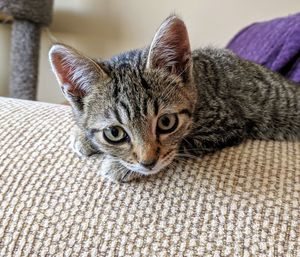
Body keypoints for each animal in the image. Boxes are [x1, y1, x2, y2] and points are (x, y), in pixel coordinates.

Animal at [48, 15, 298, 181]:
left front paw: (119, 167)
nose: (148, 163)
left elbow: (180, 146)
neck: (198, 85)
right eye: (114, 133)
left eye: (166, 122)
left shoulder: (227, 124)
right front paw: (83, 135)